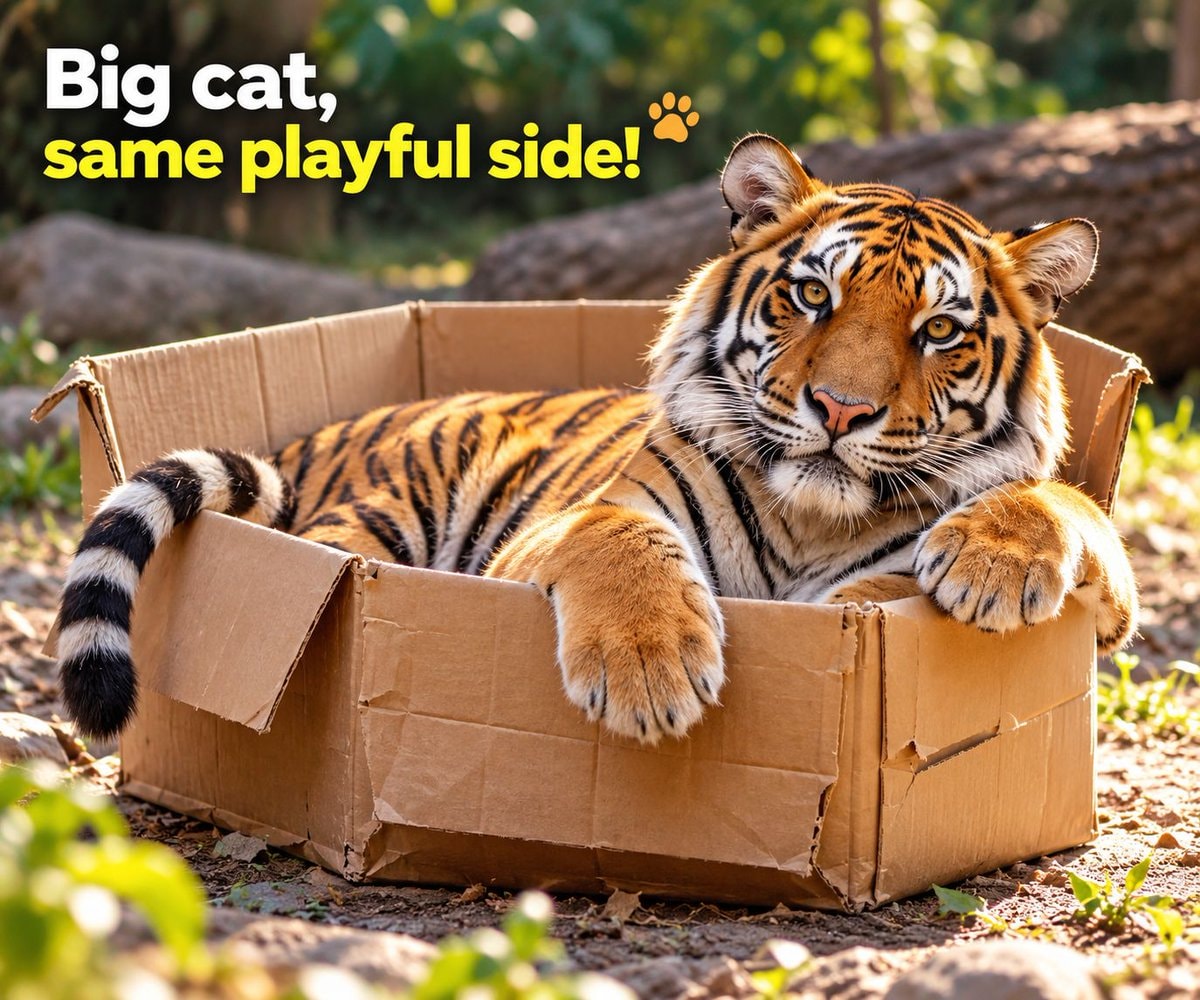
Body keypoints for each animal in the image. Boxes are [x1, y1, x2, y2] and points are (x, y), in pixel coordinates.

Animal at [56, 133, 1138, 745]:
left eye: (939, 331)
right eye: (811, 295)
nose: (839, 410)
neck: (811, 526)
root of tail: (318, 434)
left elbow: (1059, 503)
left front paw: (986, 566)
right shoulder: (563, 528)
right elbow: (620, 540)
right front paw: (648, 674)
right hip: (372, 523)